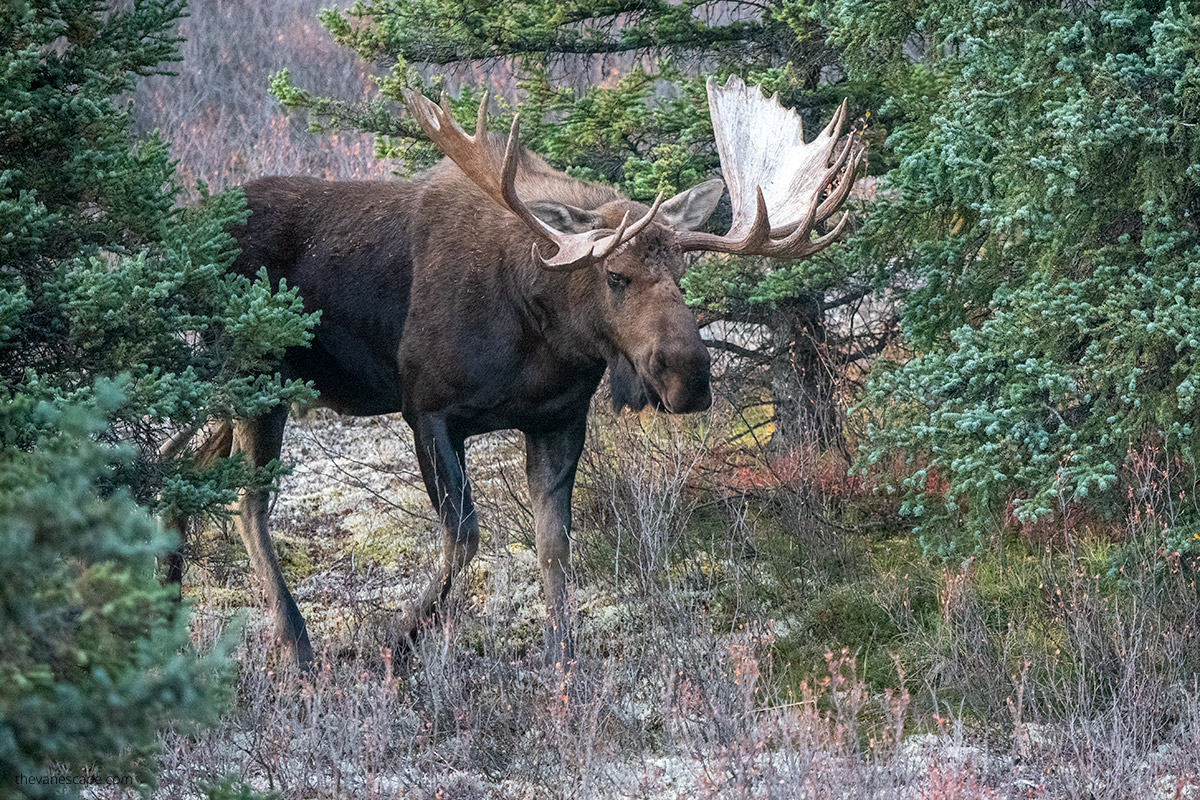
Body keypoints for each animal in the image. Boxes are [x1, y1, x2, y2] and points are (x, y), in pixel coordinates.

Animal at [163, 75, 864, 671]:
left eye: (683, 273)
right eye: (616, 275)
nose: (688, 376)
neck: (543, 337)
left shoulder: (557, 419)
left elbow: (553, 542)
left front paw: (564, 657)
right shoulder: (427, 408)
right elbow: (464, 537)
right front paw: (390, 643)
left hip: (239, 390)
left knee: (181, 467)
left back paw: (167, 604)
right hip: (255, 379)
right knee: (245, 500)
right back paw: (296, 643)